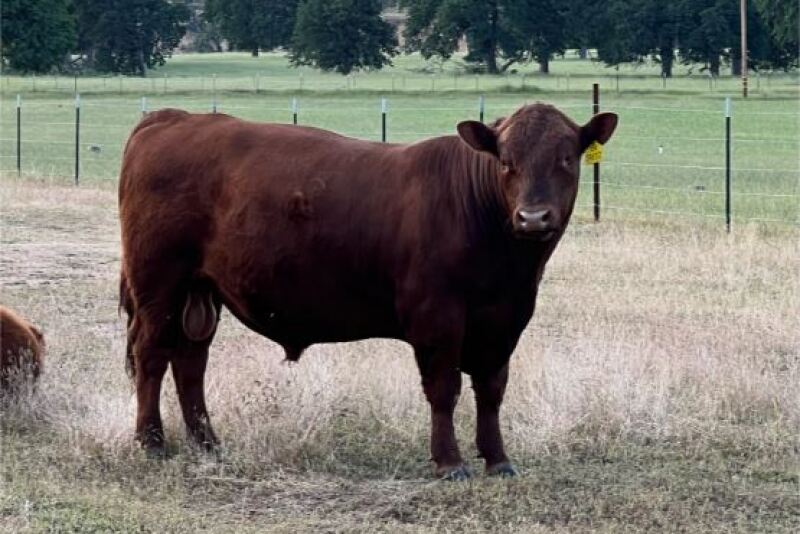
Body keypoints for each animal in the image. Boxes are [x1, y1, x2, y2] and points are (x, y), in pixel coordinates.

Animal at [119, 103, 617, 479]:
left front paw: (498, 460)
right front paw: (450, 462)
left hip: (200, 292)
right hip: (159, 285)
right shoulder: (437, 316)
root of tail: (174, 117)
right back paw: (152, 441)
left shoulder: (506, 320)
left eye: (566, 159)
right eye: (506, 161)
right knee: (152, 355)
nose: (533, 217)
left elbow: (491, 390)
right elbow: (444, 389)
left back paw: (207, 442)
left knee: (190, 362)